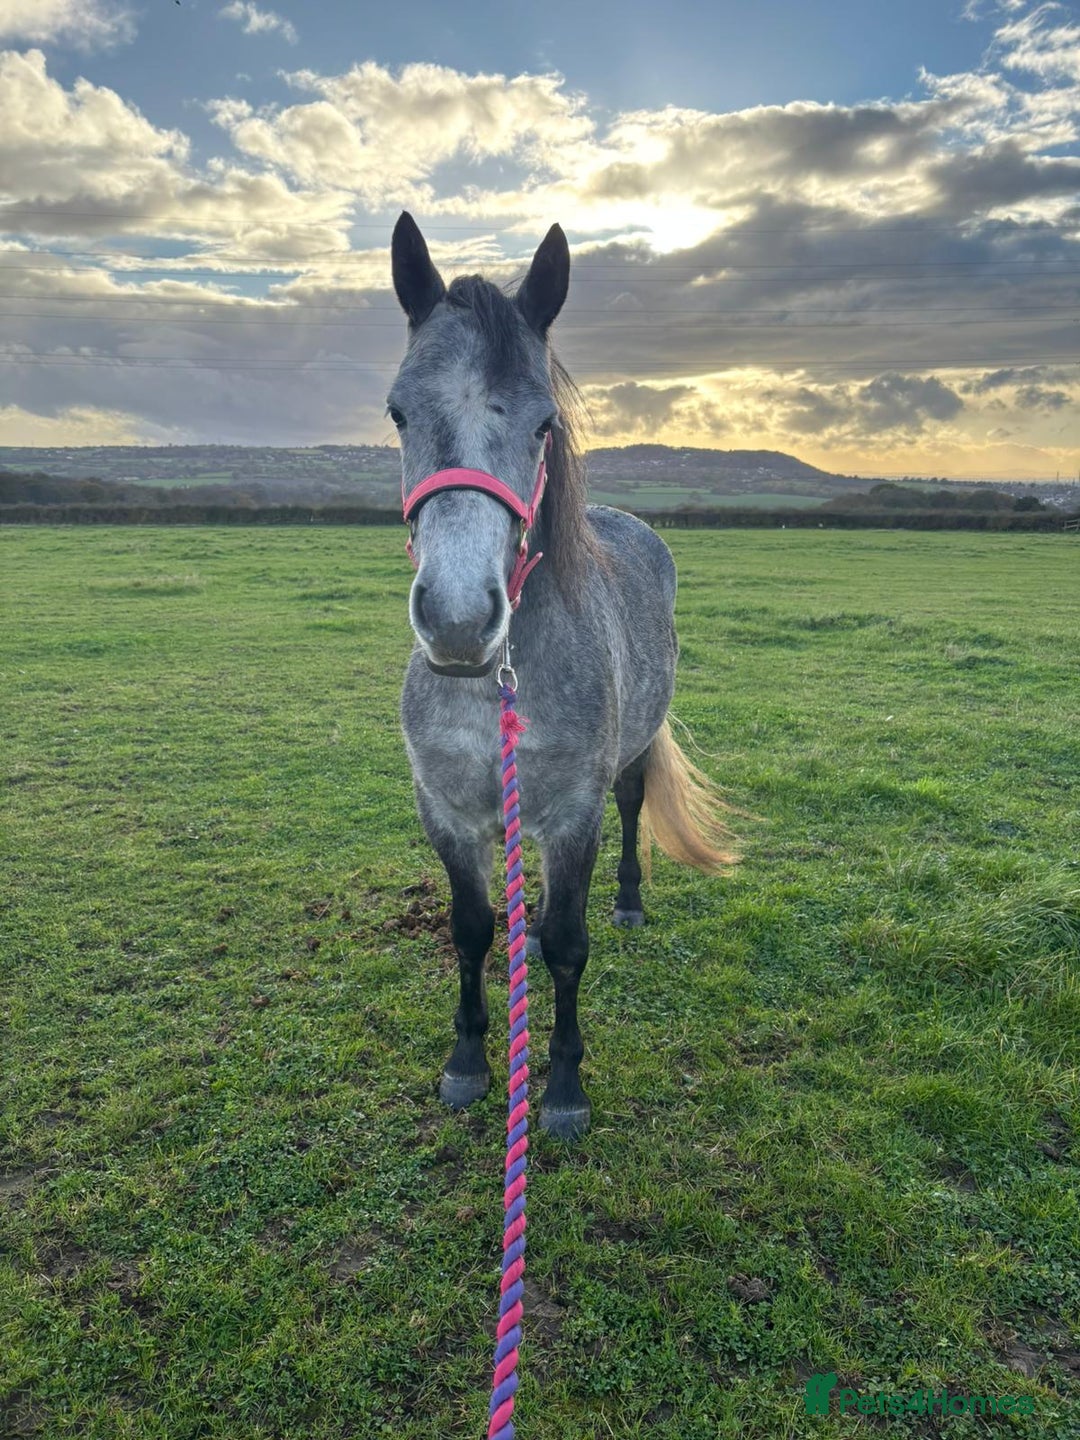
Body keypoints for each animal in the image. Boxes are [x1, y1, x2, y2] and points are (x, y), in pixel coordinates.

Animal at [390, 212, 738, 1140]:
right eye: (398, 413)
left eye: (545, 424)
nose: (458, 621)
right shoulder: (446, 811)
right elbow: (474, 929)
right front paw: (469, 1061)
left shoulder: (572, 815)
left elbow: (566, 944)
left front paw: (564, 1086)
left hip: (630, 757)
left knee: (633, 810)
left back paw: (628, 902)